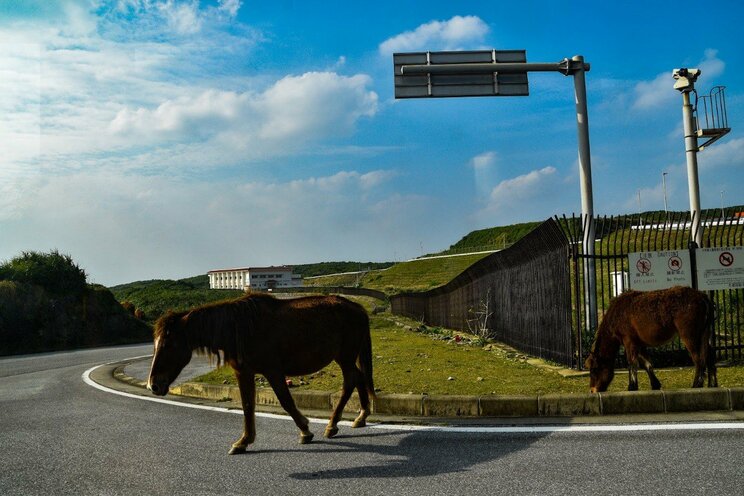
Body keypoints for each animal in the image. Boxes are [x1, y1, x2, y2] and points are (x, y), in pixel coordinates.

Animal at [147, 292, 374, 456]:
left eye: (169, 344)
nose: (153, 385)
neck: (239, 329)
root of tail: (359, 309)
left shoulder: (273, 371)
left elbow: (286, 402)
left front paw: (305, 430)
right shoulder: (244, 372)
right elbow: (248, 405)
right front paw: (243, 442)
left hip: (345, 356)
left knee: (351, 380)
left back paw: (332, 425)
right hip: (346, 357)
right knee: (359, 377)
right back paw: (361, 416)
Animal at [588, 284, 716, 394]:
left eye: (594, 370)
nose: (593, 390)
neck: (616, 314)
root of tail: (701, 296)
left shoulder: (629, 341)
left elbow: (632, 363)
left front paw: (632, 387)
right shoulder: (639, 344)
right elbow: (647, 364)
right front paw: (655, 384)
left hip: (690, 336)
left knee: (698, 359)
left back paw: (697, 384)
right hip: (702, 334)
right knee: (709, 356)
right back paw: (712, 384)